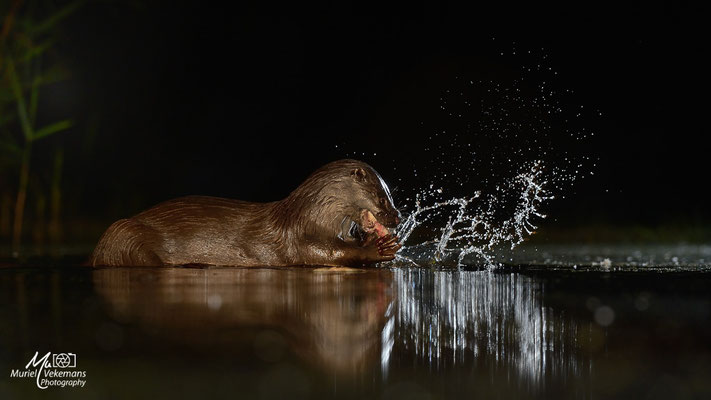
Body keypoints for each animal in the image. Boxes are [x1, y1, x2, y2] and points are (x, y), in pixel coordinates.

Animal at [90, 158, 400, 268]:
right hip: (126, 237)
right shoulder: (300, 239)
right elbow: (328, 254)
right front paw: (378, 248)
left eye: (390, 196)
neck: (307, 217)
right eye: (382, 199)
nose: (397, 217)